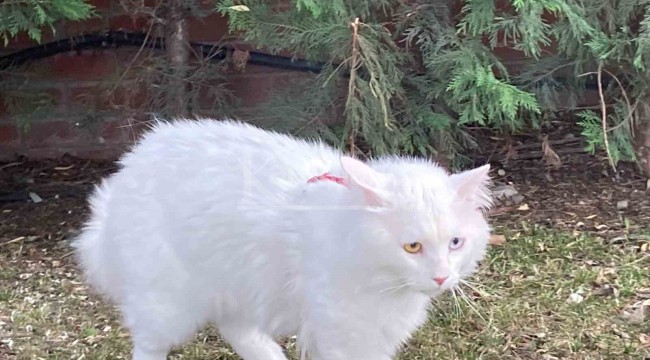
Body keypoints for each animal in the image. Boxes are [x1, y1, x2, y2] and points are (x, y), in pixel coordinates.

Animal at [73, 119, 488, 360]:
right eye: (412, 247)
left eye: (455, 243)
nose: (441, 277)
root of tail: (132, 163)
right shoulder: (346, 335)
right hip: (168, 301)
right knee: (149, 344)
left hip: (238, 280)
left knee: (235, 328)